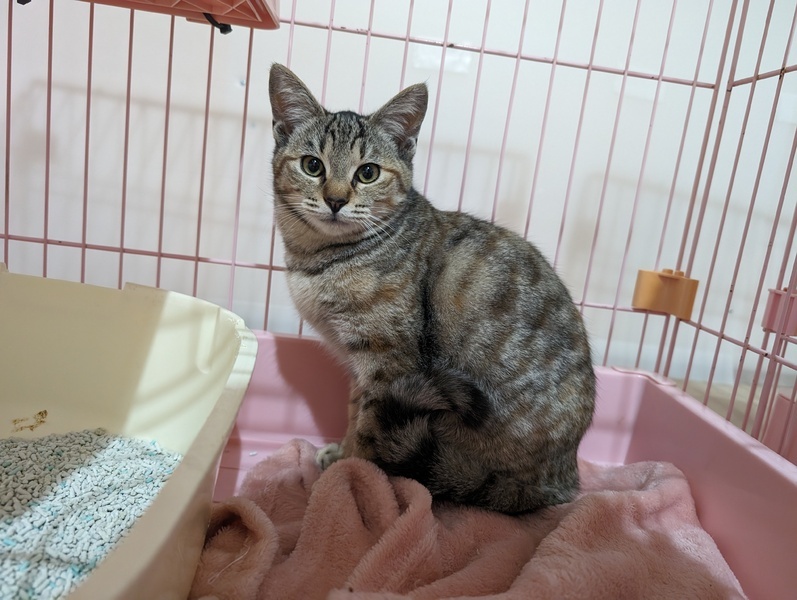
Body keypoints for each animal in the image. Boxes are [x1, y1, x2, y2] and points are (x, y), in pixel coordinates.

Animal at [268, 63, 596, 514]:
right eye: (312, 165)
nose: (335, 200)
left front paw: (350, 473)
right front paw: (341, 454)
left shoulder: (388, 361)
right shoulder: (360, 365)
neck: (321, 259)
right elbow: (354, 412)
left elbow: (368, 428)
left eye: (367, 172)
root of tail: (563, 479)